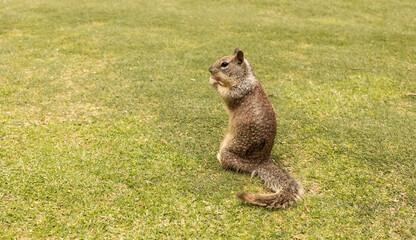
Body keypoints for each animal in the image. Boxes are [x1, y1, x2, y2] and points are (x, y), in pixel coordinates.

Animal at [208, 47, 302, 208]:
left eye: (224, 64)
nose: (209, 69)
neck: (246, 77)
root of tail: (261, 162)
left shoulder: (239, 90)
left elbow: (225, 93)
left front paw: (213, 81)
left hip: (228, 154)